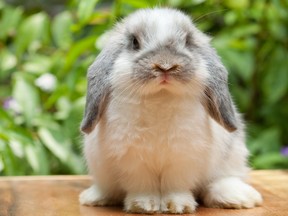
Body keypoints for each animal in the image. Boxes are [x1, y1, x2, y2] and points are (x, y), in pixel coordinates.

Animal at [77, 7, 262, 213]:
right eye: (134, 42)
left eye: (188, 41)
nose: (165, 65)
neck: (160, 97)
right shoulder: (133, 161)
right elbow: (142, 185)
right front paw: (143, 205)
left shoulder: (182, 158)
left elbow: (175, 185)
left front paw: (178, 206)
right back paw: (94, 197)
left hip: (232, 157)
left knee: (222, 180)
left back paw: (238, 197)